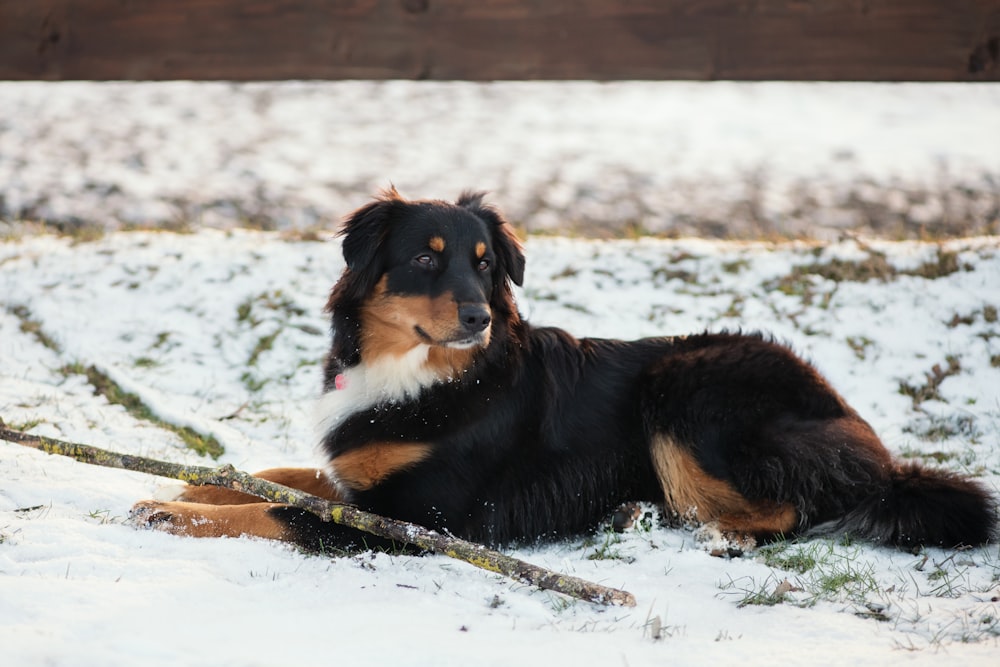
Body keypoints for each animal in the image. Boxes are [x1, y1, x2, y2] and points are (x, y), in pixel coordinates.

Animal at [131, 189, 992, 552]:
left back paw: (712, 532)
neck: (424, 370)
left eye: (485, 264)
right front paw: (192, 485)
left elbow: (282, 511)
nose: (477, 318)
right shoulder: (365, 477)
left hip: (685, 386)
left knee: (800, 504)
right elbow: (276, 476)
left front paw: (174, 511)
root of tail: (865, 433)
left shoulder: (422, 516)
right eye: (427, 259)